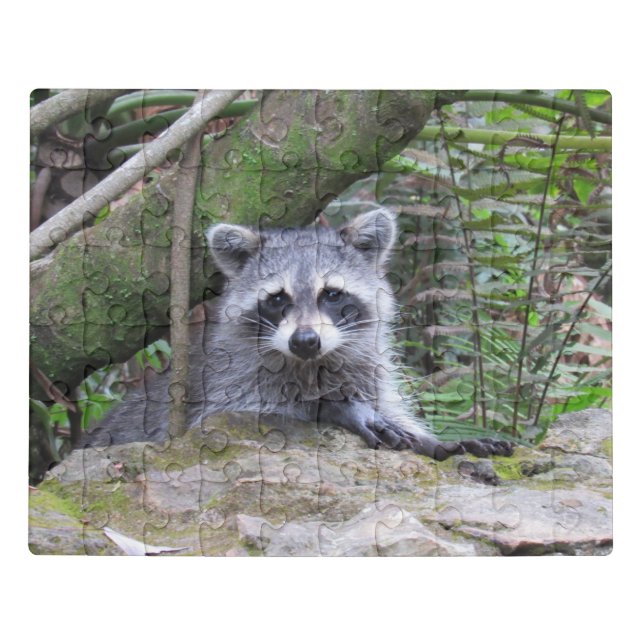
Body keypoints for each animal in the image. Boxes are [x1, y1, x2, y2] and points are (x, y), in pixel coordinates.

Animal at [82, 209, 513, 460]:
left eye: (332, 294)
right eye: (277, 299)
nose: (305, 341)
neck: (313, 363)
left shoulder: (367, 369)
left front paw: (433, 440)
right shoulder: (225, 381)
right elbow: (240, 412)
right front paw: (333, 405)